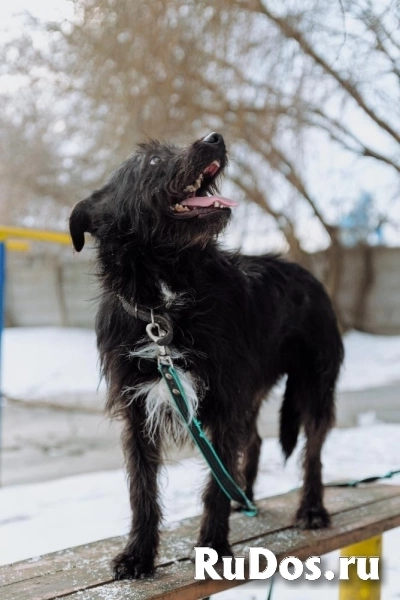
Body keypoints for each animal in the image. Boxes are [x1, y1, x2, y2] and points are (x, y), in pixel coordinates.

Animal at [69, 132, 344, 580]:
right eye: (151, 160)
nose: (215, 137)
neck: (164, 305)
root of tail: (307, 274)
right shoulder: (137, 411)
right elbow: (141, 489)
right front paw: (138, 554)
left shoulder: (223, 402)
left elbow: (214, 484)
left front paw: (213, 549)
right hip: (253, 393)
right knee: (254, 441)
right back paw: (244, 496)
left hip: (314, 384)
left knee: (313, 453)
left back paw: (311, 509)